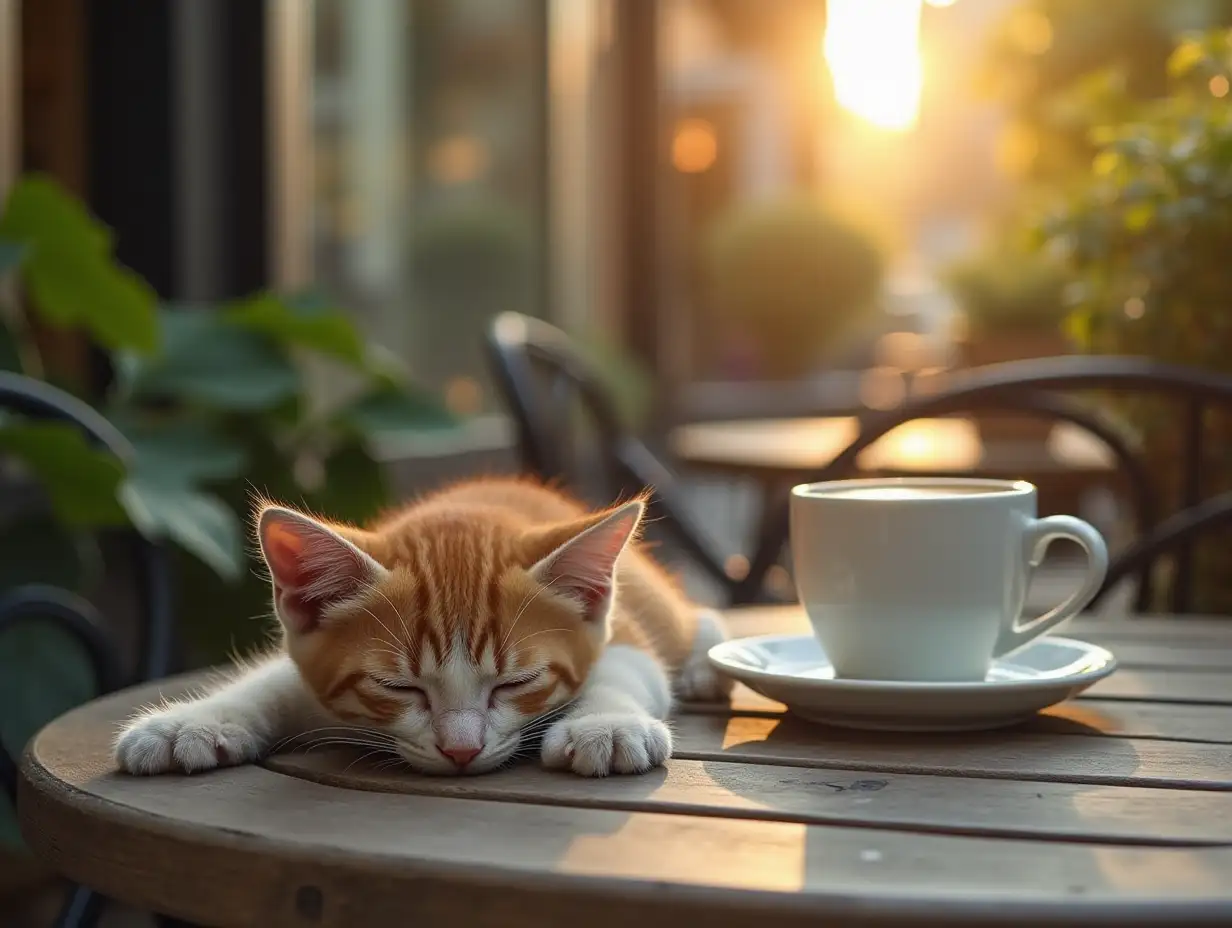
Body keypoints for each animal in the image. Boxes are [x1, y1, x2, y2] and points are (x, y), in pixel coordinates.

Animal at [113, 478, 729, 773]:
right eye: (398, 688)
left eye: (516, 683)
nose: (461, 751)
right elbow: (274, 682)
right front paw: (190, 724)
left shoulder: (622, 632)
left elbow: (625, 669)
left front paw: (605, 726)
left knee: (694, 620)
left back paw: (705, 667)